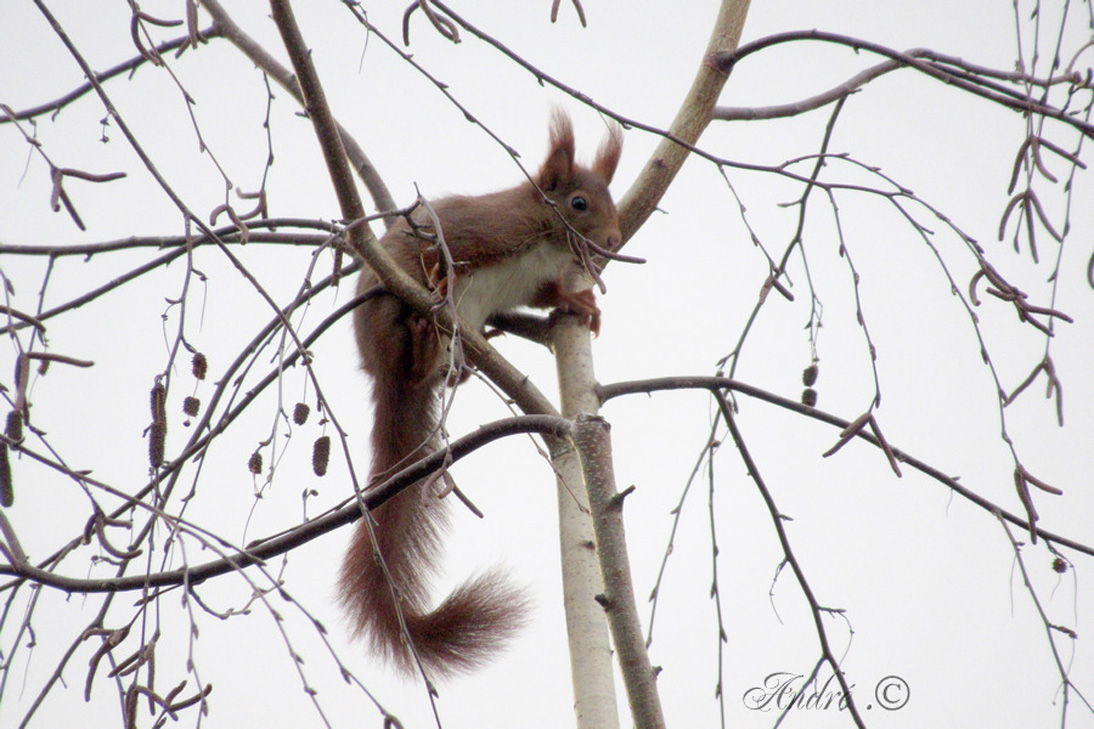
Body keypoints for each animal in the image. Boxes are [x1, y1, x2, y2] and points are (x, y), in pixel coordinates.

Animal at [336, 109, 621, 674]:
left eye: (613, 201)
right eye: (579, 203)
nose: (616, 238)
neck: (543, 242)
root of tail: (384, 378)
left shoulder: (533, 283)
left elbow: (550, 295)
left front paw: (582, 305)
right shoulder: (481, 233)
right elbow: (441, 256)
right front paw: (437, 278)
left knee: (435, 377)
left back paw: (458, 362)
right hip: (387, 323)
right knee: (412, 360)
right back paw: (424, 337)